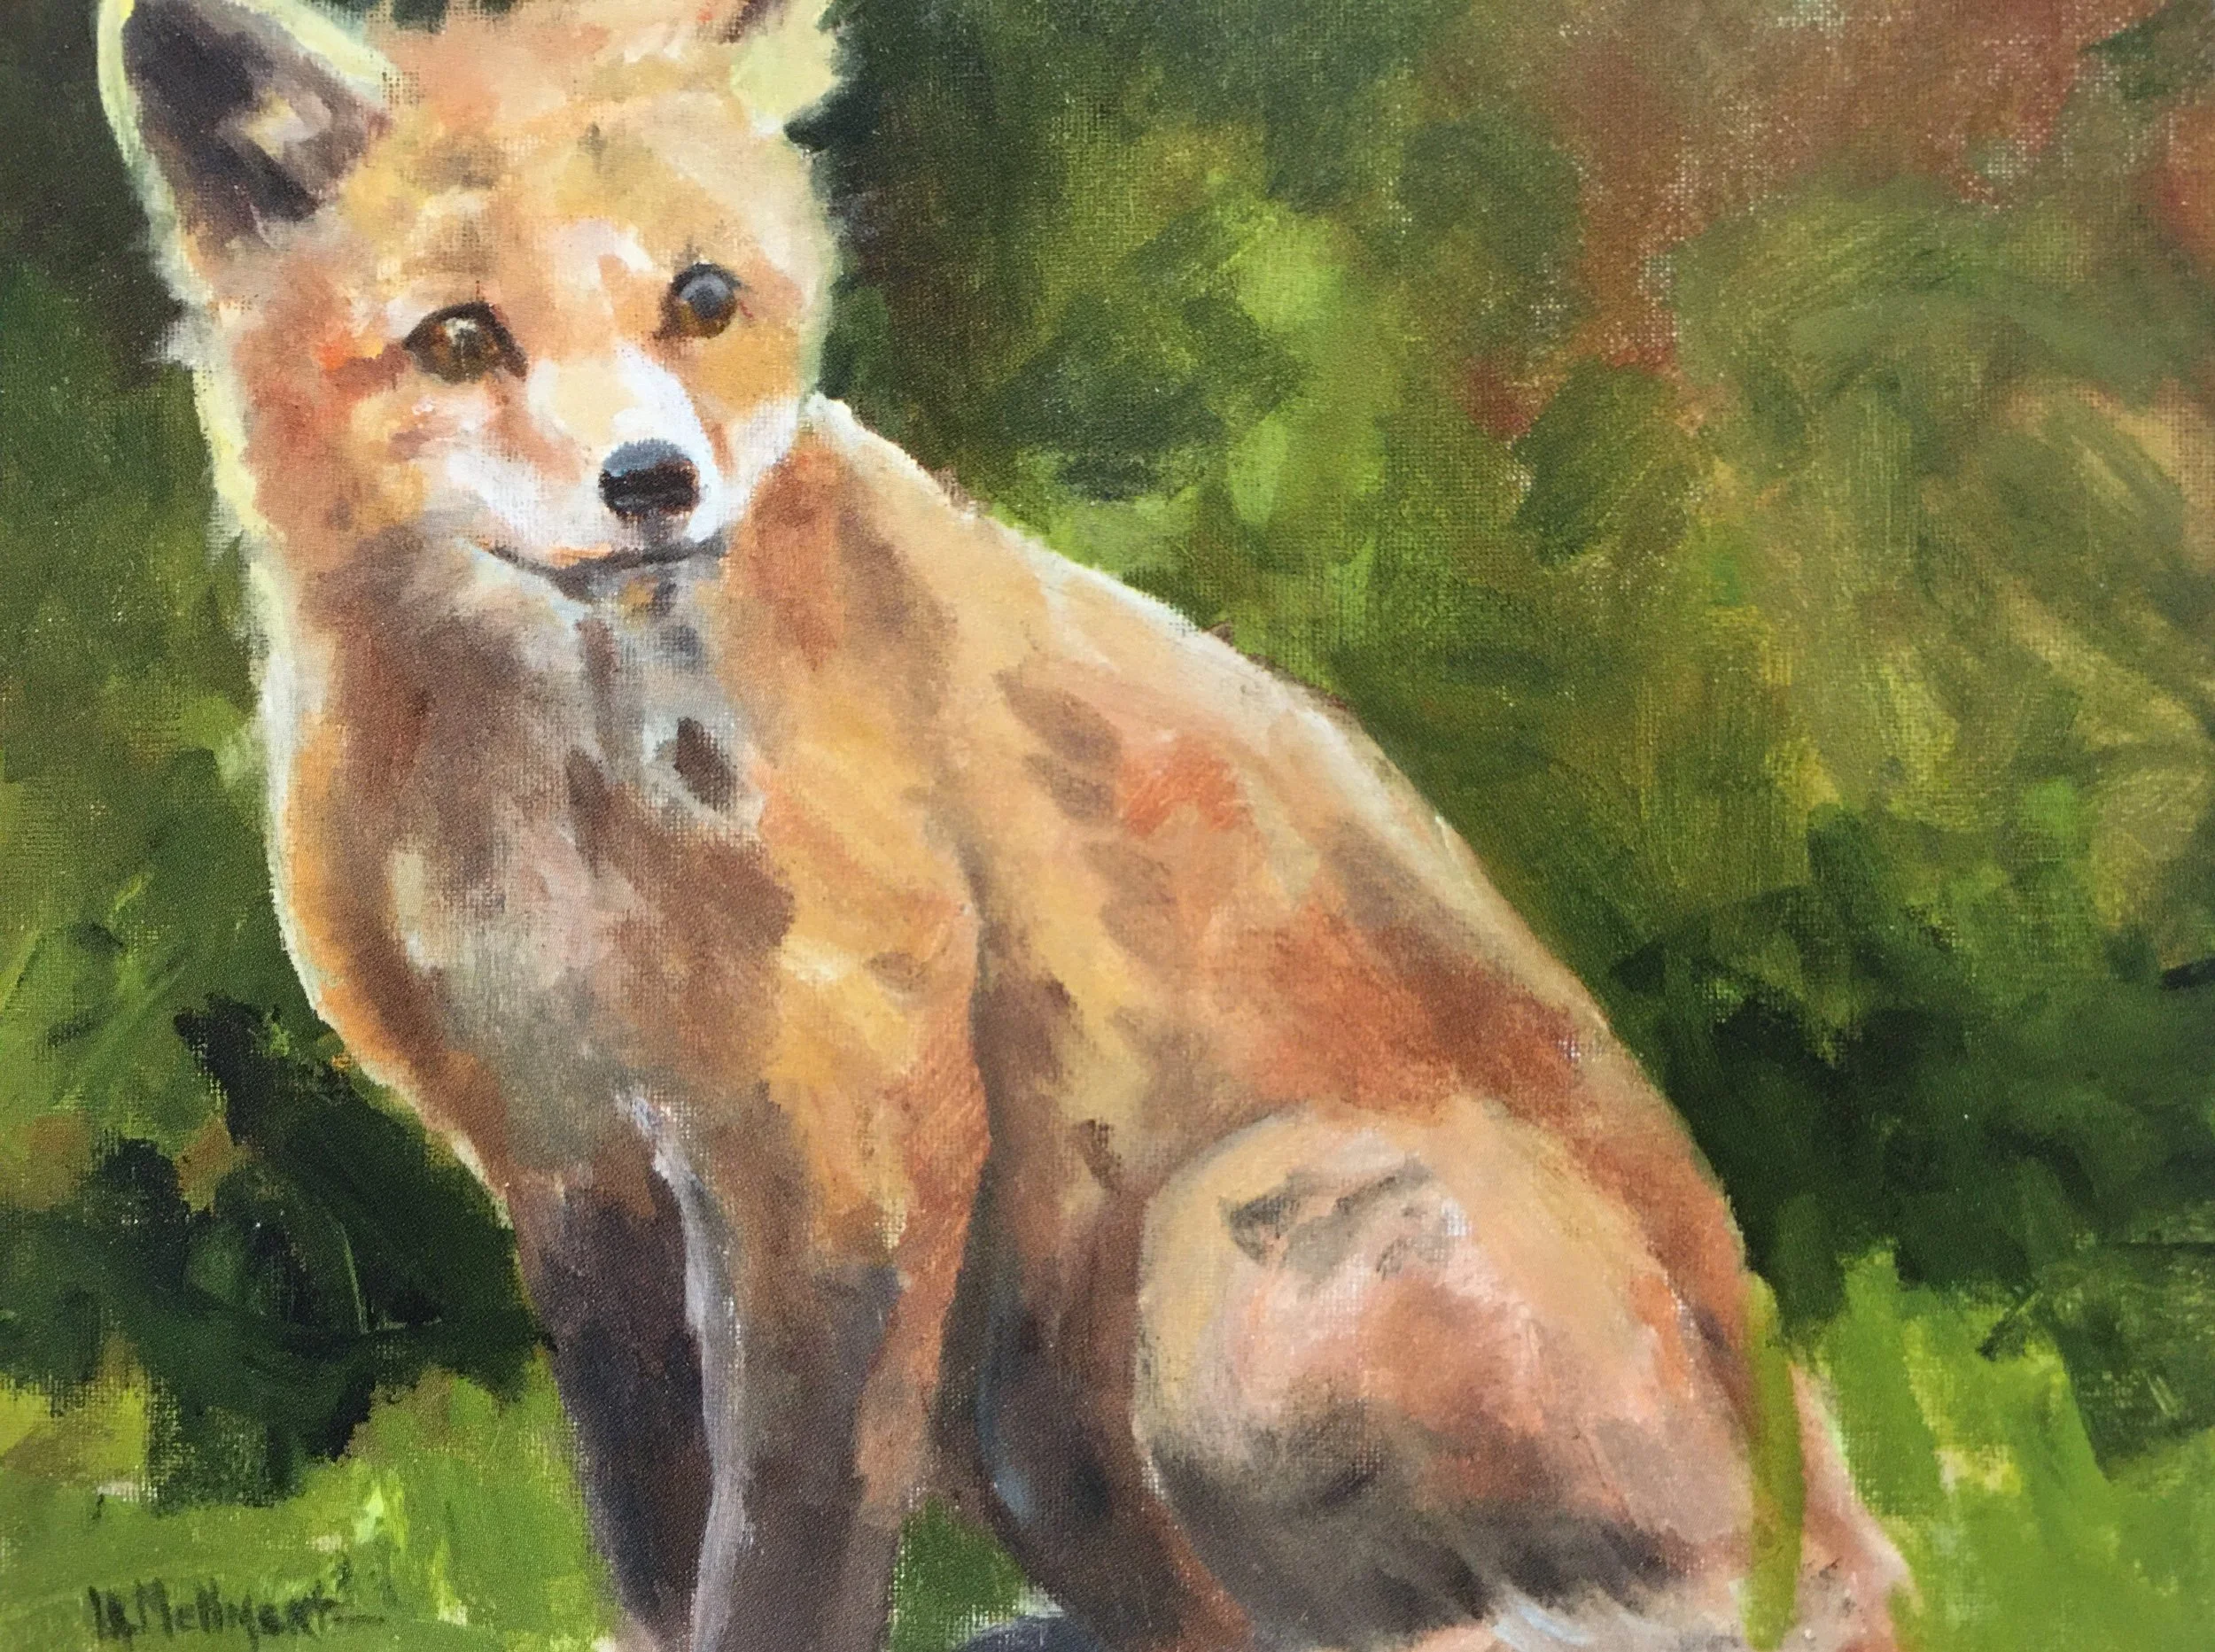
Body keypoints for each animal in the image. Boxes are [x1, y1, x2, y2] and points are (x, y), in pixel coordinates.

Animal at [97, 0, 1910, 1649]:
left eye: (702, 301)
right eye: (461, 338)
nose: (655, 482)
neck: (551, 817)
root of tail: (1840, 1538)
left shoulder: (846, 1137)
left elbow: (785, 1545)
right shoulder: (576, 1171)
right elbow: (651, 1532)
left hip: (1228, 1260)